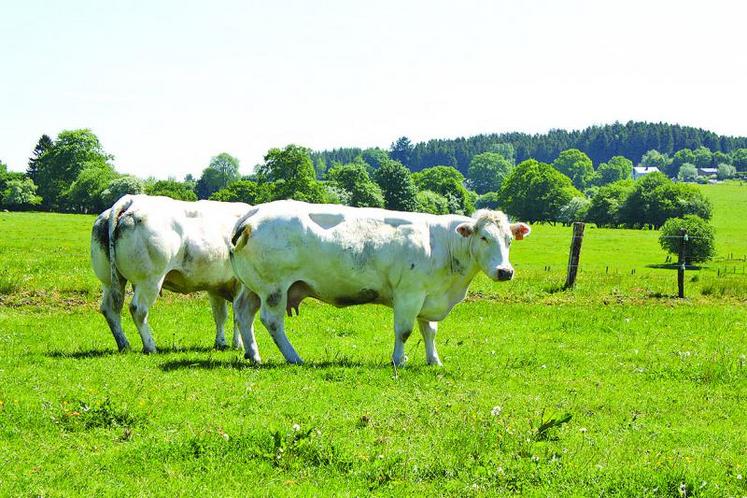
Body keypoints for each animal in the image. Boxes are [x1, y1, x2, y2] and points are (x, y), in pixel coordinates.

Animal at [91, 193, 262, 360]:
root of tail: (130, 200)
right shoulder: (239, 284)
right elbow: (237, 315)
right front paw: (237, 344)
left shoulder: (215, 285)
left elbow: (220, 315)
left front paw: (221, 343)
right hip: (150, 280)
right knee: (138, 309)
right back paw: (150, 346)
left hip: (109, 280)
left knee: (110, 309)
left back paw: (124, 344)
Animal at [231, 199, 528, 366]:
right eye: (484, 238)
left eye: (509, 240)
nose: (505, 271)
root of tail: (254, 213)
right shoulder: (409, 294)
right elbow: (404, 331)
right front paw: (399, 360)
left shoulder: (429, 295)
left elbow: (429, 331)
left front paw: (434, 360)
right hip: (274, 288)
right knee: (272, 322)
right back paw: (294, 357)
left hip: (253, 287)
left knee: (243, 313)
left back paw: (254, 355)